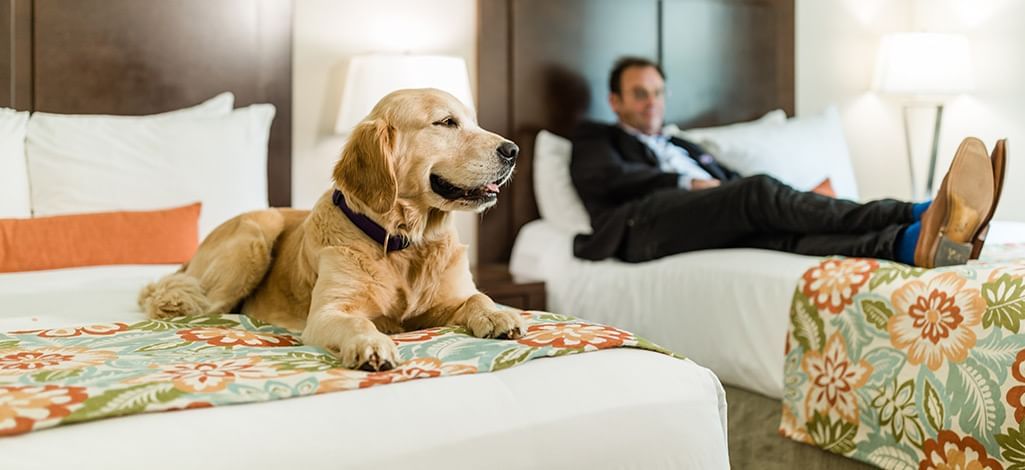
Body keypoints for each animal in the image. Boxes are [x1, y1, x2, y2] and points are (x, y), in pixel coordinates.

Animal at [138, 89, 520, 370]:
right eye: (445, 122)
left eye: (474, 122)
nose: (513, 150)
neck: (405, 243)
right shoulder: (327, 313)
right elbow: (358, 322)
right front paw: (371, 343)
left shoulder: (442, 303)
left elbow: (476, 296)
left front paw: (496, 313)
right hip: (254, 236)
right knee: (201, 307)